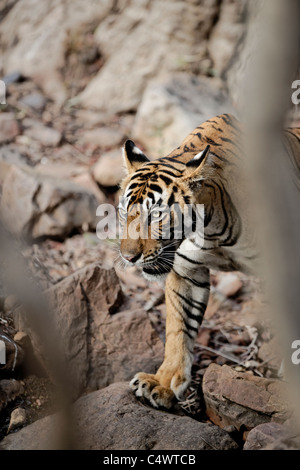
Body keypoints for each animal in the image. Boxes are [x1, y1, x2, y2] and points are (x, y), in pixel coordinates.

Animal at [118, 113, 300, 408]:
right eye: (125, 212)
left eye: (155, 215)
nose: (128, 257)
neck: (211, 228)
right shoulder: (186, 272)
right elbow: (178, 329)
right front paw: (163, 382)